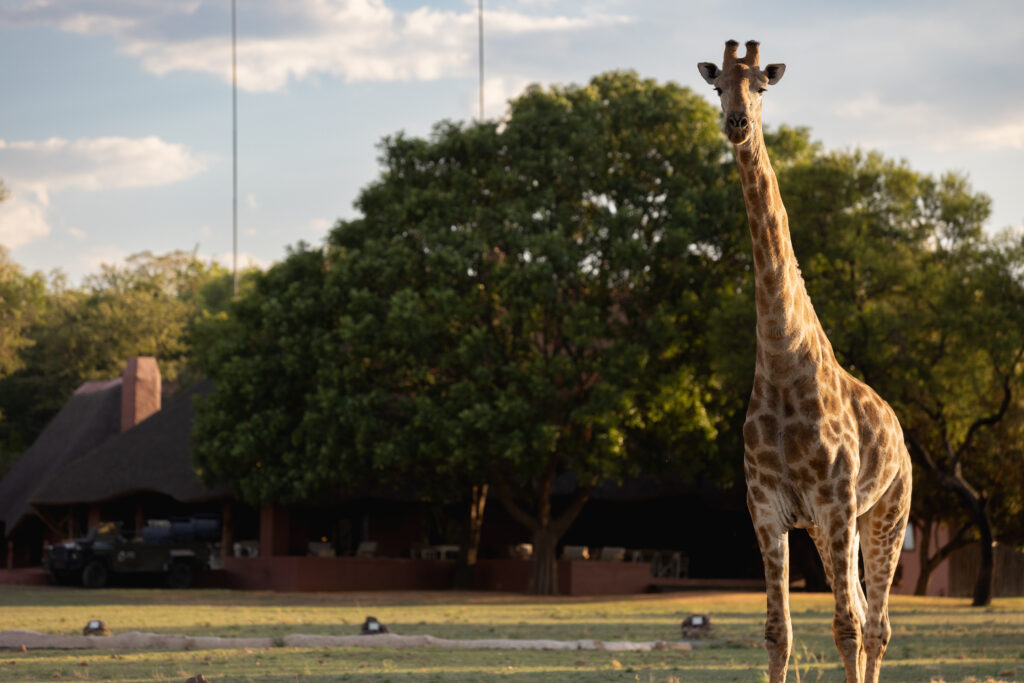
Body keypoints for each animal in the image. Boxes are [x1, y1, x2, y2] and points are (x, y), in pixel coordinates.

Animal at [697, 41, 912, 683]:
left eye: (762, 87)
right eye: (717, 87)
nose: (737, 124)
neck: (780, 358)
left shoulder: (835, 504)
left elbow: (844, 629)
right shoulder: (768, 508)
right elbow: (777, 633)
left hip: (886, 513)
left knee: (875, 623)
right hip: (828, 527)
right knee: (864, 613)